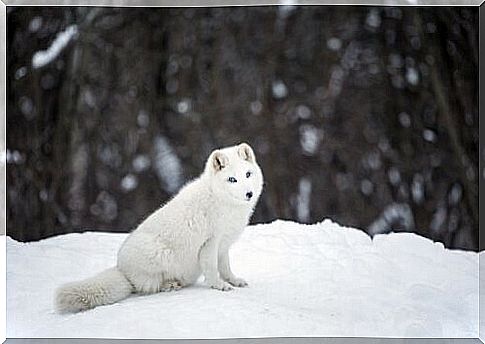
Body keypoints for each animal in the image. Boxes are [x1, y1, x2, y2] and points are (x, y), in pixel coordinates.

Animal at [54, 142, 262, 312]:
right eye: (232, 179)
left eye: (248, 174)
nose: (249, 194)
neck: (222, 201)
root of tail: (121, 269)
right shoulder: (210, 244)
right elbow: (212, 269)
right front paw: (220, 286)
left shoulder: (223, 246)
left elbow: (226, 267)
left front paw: (234, 281)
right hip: (161, 254)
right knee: (147, 287)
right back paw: (169, 285)